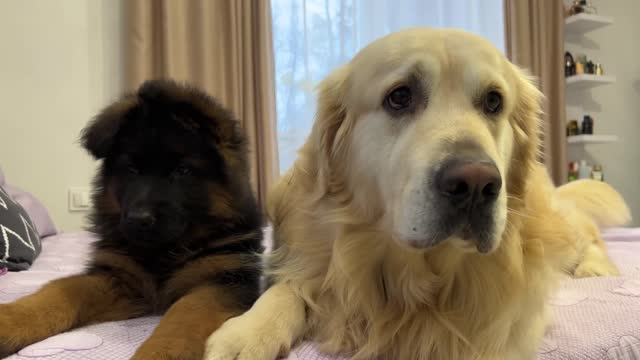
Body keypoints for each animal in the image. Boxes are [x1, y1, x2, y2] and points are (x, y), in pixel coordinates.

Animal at [0, 79, 264, 360]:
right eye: (131, 170)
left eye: (182, 171)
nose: (138, 220)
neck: (164, 250)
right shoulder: (119, 279)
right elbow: (60, 289)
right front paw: (9, 322)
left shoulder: (222, 281)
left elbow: (184, 315)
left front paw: (158, 352)